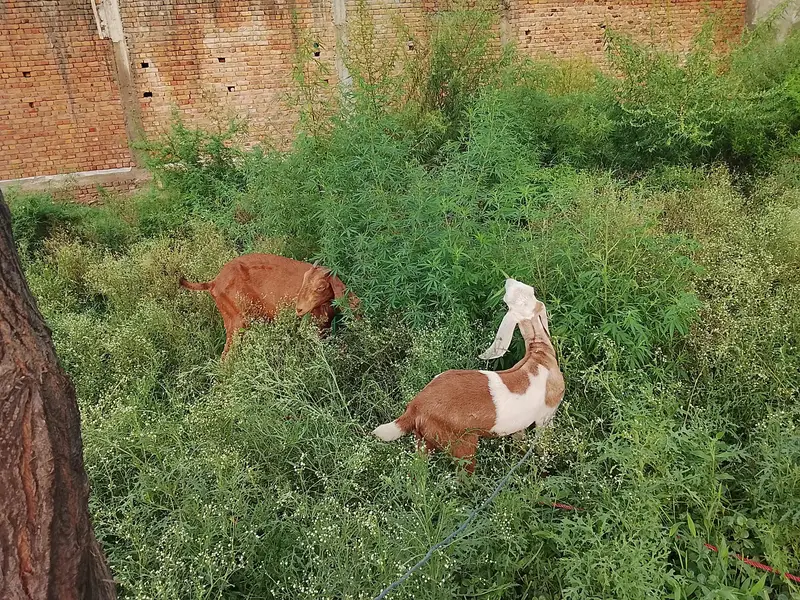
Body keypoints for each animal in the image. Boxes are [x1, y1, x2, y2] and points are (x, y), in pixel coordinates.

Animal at [372, 279, 564, 473]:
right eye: (533, 291)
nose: (508, 280)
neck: (538, 352)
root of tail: (416, 406)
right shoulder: (546, 417)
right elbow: (542, 445)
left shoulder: (519, 426)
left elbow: (520, 443)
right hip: (462, 446)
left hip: (424, 441)